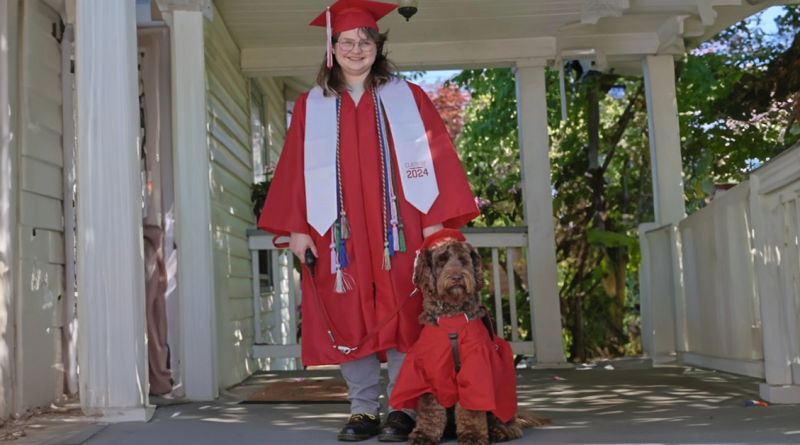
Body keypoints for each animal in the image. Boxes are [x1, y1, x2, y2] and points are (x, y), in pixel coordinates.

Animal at [406, 236, 552, 444]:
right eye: (441, 261)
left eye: (463, 260)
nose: (457, 277)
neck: (452, 320)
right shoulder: (430, 368)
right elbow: (430, 408)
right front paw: (424, 434)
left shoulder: (476, 366)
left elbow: (471, 408)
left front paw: (472, 435)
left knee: (511, 424)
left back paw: (500, 431)